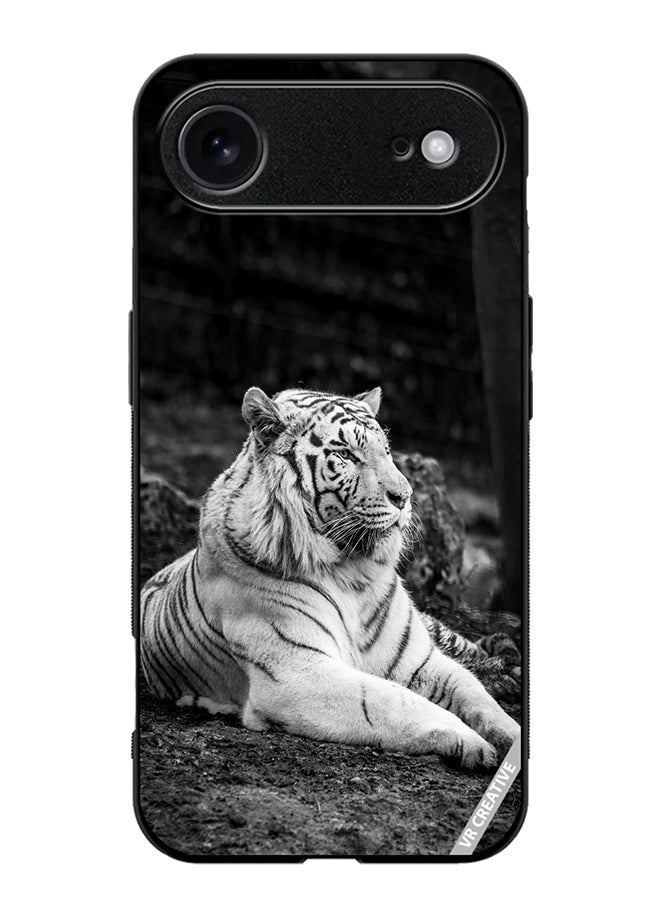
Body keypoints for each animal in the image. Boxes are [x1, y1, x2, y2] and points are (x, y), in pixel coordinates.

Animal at [140, 386, 520, 770]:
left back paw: (507, 666)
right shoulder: (296, 672)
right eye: (346, 455)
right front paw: (471, 742)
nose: (405, 496)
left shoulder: (417, 659)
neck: (354, 572)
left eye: (386, 451)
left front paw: (510, 733)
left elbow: (473, 691)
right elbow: (392, 699)